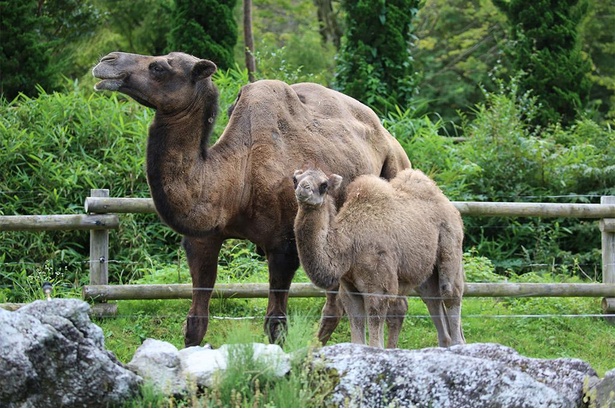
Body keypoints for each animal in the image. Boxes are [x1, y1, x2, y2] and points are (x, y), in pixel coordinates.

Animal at [294, 167, 466, 348]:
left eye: (324, 185)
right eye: (295, 180)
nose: (303, 189)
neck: (348, 244)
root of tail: (451, 207)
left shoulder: (378, 286)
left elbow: (375, 340)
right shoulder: (350, 288)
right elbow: (357, 336)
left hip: (451, 243)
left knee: (450, 293)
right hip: (426, 271)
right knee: (432, 299)